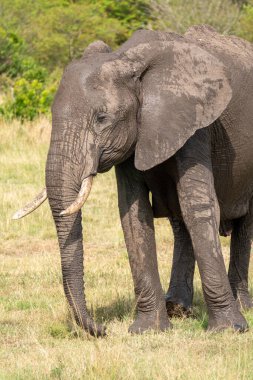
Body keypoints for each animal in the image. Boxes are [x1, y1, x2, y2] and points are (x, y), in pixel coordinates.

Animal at [13, 25, 253, 336]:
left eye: (102, 118)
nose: (102, 329)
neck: (129, 60)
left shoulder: (196, 122)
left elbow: (198, 205)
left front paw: (228, 329)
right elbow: (132, 211)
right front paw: (148, 330)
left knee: (243, 223)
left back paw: (242, 306)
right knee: (180, 223)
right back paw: (177, 309)